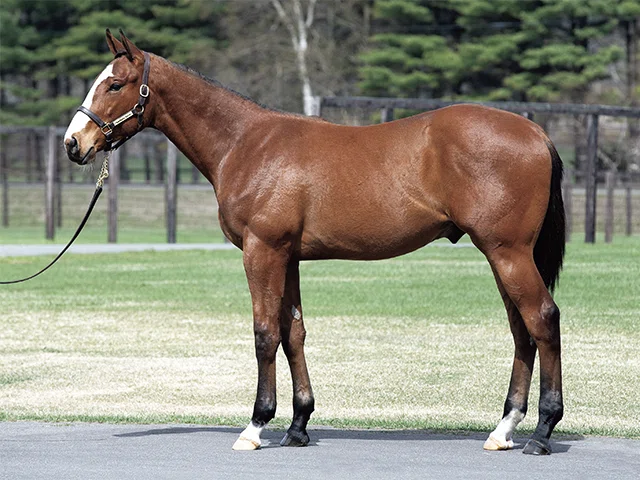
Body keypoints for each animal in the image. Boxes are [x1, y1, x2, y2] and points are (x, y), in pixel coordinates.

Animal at [64, 30, 566, 455]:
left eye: (115, 85)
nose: (73, 143)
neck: (246, 144)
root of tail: (537, 133)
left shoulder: (262, 251)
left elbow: (265, 333)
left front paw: (256, 425)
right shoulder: (288, 257)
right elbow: (294, 333)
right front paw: (298, 425)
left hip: (508, 253)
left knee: (542, 319)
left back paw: (542, 431)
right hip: (502, 257)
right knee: (521, 330)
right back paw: (503, 430)